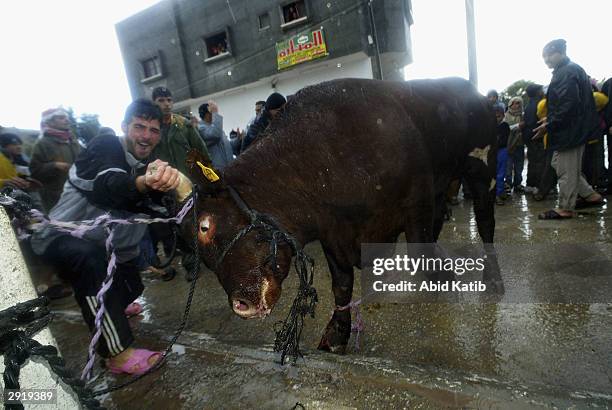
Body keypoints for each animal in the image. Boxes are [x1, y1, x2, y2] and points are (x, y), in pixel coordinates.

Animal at [179, 78, 500, 354]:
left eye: (205, 226)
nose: (241, 304)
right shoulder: (333, 232)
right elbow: (342, 285)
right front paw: (336, 333)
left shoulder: (416, 202)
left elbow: (423, 256)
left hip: (481, 168)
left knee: (485, 220)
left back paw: (493, 276)